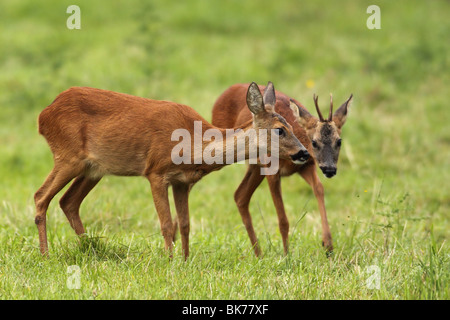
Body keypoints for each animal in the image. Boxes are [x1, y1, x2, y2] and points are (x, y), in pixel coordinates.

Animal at [34, 81, 306, 258]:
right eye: (280, 130)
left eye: (293, 127)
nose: (303, 152)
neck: (194, 143)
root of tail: (43, 116)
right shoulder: (155, 171)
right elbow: (166, 224)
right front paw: (169, 261)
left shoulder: (182, 181)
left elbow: (184, 224)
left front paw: (185, 261)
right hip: (68, 156)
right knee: (40, 196)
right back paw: (46, 256)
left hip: (94, 169)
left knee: (68, 201)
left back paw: (89, 248)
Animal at [211, 84, 352, 256]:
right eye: (314, 142)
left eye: (339, 141)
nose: (330, 169)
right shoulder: (272, 171)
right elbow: (283, 220)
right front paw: (286, 255)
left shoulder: (306, 166)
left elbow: (319, 188)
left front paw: (328, 245)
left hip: (256, 167)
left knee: (240, 196)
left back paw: (259, 255)